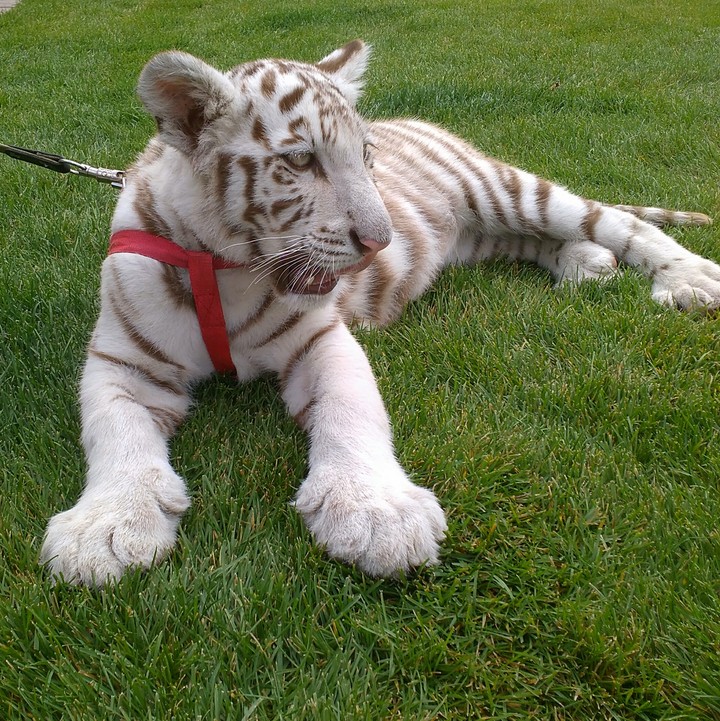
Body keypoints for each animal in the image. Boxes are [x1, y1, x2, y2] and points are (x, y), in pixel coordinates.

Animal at [40, 40, 720, 586]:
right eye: (300, 161)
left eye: (364, 157)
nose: (380, 240)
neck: (220, 263)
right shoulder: (122, 361)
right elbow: (115, 433)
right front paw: (106, 528)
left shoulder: (321, 339)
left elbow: (351, 411)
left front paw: (375, 513)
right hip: (489, 234)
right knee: (541, 243)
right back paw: (587, 264)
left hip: (511, 192)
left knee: (618, 222)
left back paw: (689, 281)